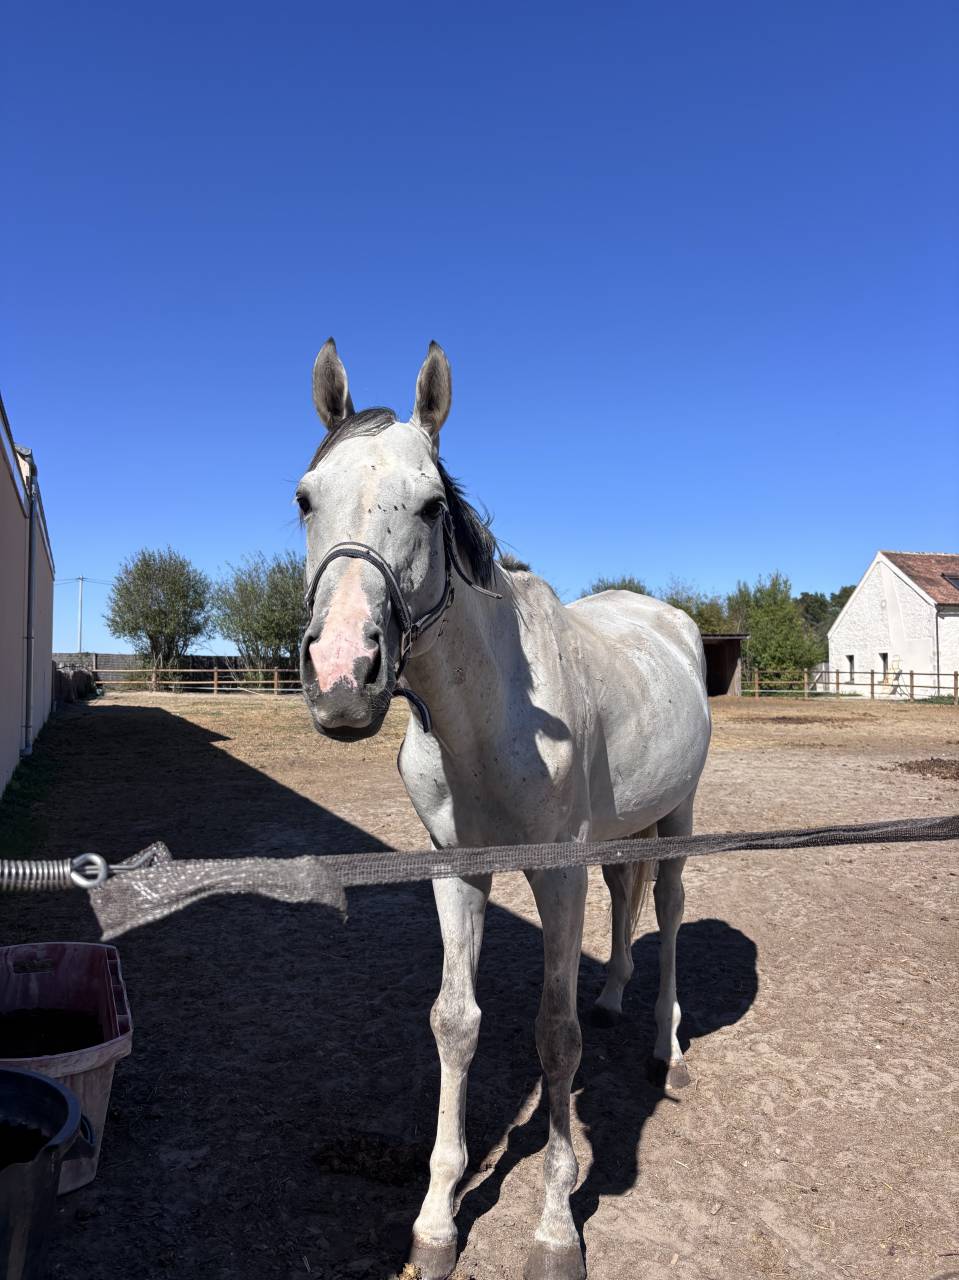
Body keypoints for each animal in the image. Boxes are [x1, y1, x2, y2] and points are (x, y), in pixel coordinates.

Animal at [297, 339, 711, 1280]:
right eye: (304, 498)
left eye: (428, 506)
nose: (342, 677)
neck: (487, 722)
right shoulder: (458, 870)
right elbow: (455, 1023)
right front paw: (436, 1224)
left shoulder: (554, 876)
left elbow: (554, 1036)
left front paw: (556, 1231)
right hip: (618, 835)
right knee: (626, 899)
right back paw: (614, 997)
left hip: (677, 819)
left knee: (668, 912)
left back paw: (666, 1052)